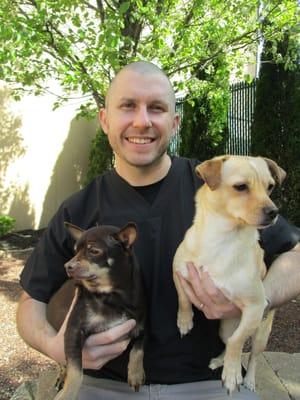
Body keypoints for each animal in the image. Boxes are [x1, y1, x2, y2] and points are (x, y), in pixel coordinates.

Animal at [172, 155, 284, 394]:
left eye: (270, 187)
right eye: (241, 187)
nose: (274, 212)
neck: (222, 240)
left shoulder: (255, 308)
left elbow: (237, 342)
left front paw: (233, 375)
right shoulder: (178, 273)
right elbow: (183, 299)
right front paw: (184, 321)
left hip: (260, 333)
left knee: (250, 353)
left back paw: (248, 379)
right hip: (225, 327)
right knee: (227, 340)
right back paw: (219, 361)